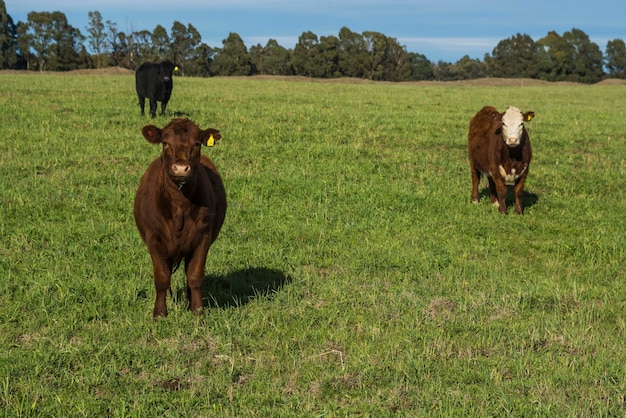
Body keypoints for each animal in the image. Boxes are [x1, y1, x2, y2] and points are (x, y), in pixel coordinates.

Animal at [134, 117, 227, 316]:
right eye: (165, 143)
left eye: (197, 144)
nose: (181, 168)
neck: (179, 205)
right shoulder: (154, 239)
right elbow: (162, 278)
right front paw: (160, 313)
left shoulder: (203, 238)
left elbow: (195, 276)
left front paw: (197, 311)